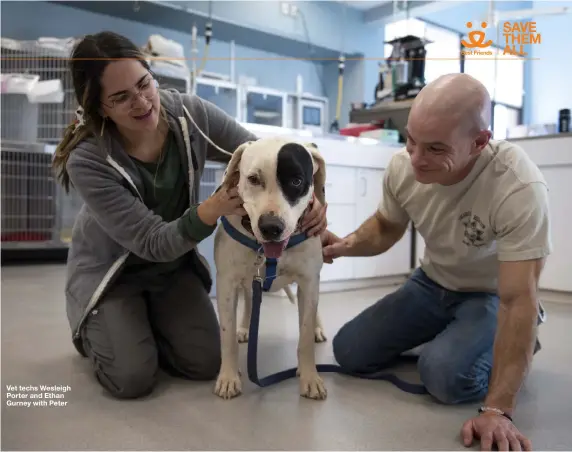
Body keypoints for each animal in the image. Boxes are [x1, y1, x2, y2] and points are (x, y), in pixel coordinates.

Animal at [212, 138, 328, 400]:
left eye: (296, 181)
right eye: (253, 179)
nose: (271, 227)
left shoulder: (309, 281)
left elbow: (305, 335)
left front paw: (310, 377)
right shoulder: (227, 283)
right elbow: (226, 334)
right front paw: (228, 377)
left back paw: (318, 329)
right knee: (248, 299)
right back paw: (245, 328)